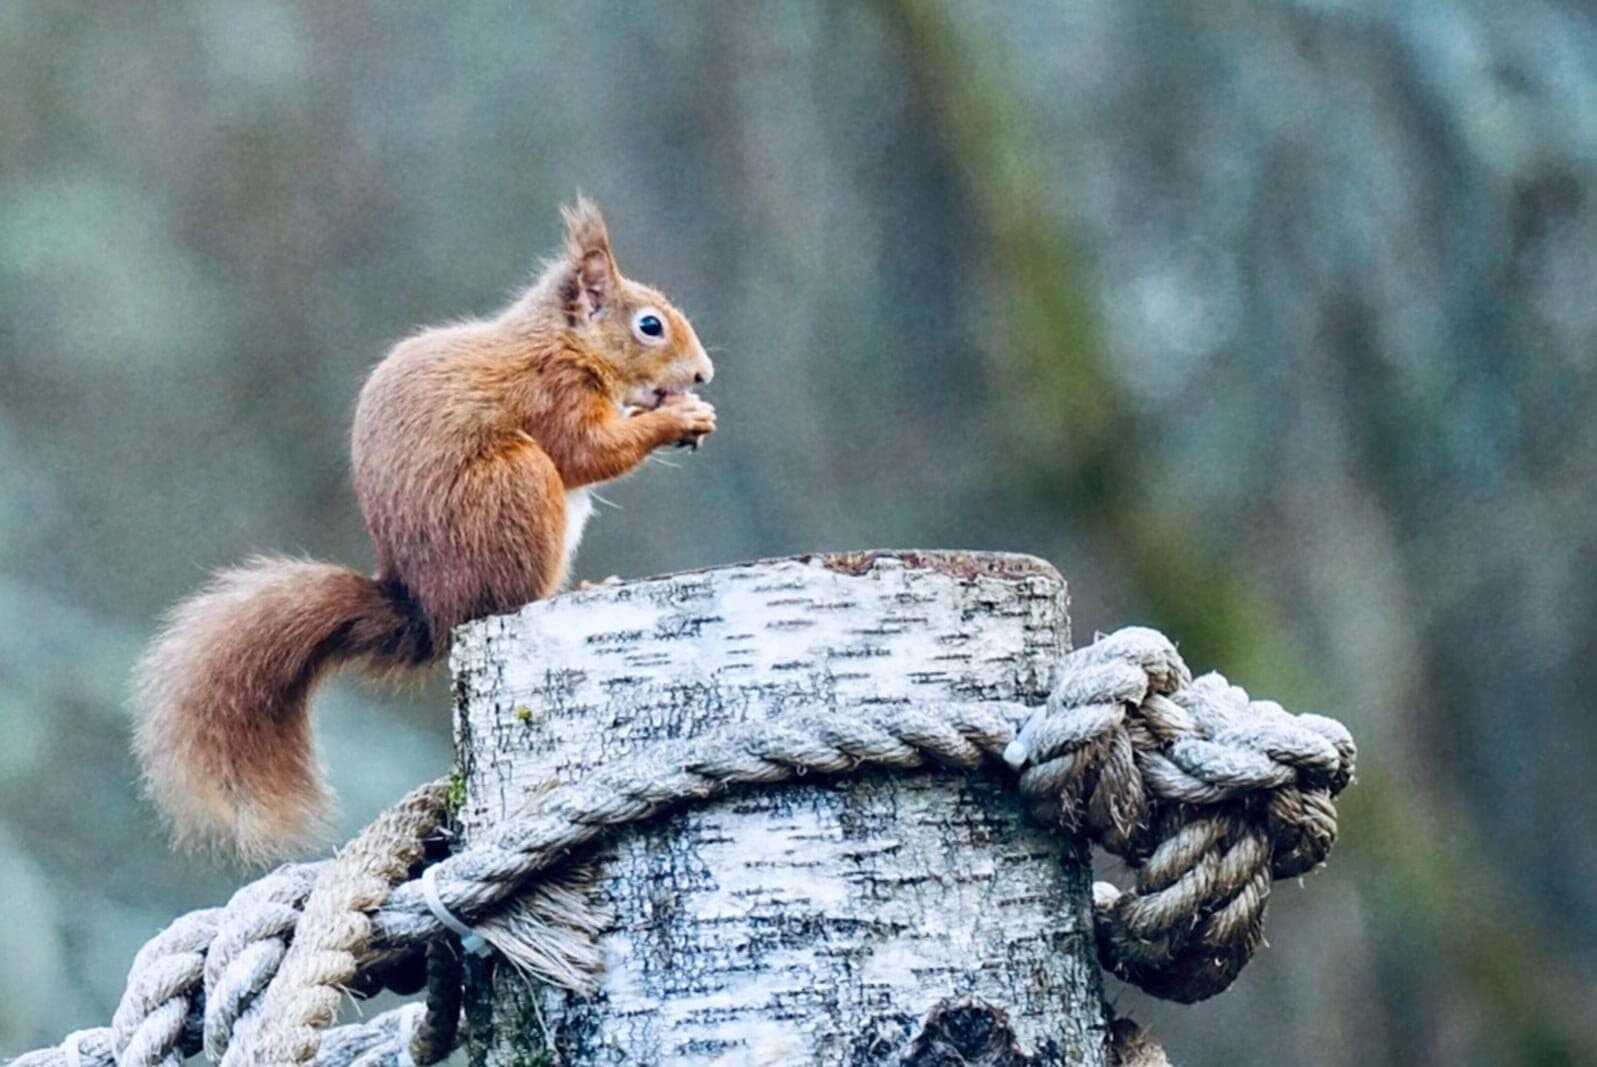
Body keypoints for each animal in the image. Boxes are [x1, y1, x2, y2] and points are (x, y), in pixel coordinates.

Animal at [133, 198, 716, 859]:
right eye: (650, 326)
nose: (703, 375)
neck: (565, 340)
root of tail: (431, 611)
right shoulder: (553, 392)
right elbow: (588, 451)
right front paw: (675, 418)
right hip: (515, 484)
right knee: (511, 597)